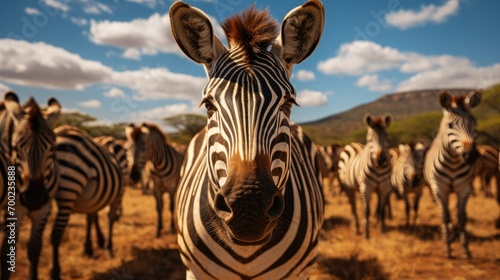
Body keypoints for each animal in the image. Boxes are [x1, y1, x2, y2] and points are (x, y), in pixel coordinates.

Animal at [0, 92, 60, 280]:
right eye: (15, 147)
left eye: (52, 148)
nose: (34, 199)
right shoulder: (13, 209)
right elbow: (7, 251)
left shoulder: (44, 208)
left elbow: (34, 248)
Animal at [50, 126, 122, 278]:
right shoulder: (115, 197)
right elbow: (109, 219)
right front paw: (108, 246)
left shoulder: (92, 199)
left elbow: (90, 219)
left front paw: (89, 247)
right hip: (69, 187)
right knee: (56, 234)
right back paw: (56, 271)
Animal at [424, 89, 482, 258]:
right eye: (450, 125)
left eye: (474, 123)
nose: (471, 155)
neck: (453, 163)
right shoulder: (439, 188)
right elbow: (445, 216)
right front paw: (448, 248)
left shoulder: (465, 188)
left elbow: (462, 217)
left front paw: (465, 248)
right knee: (447, 213)